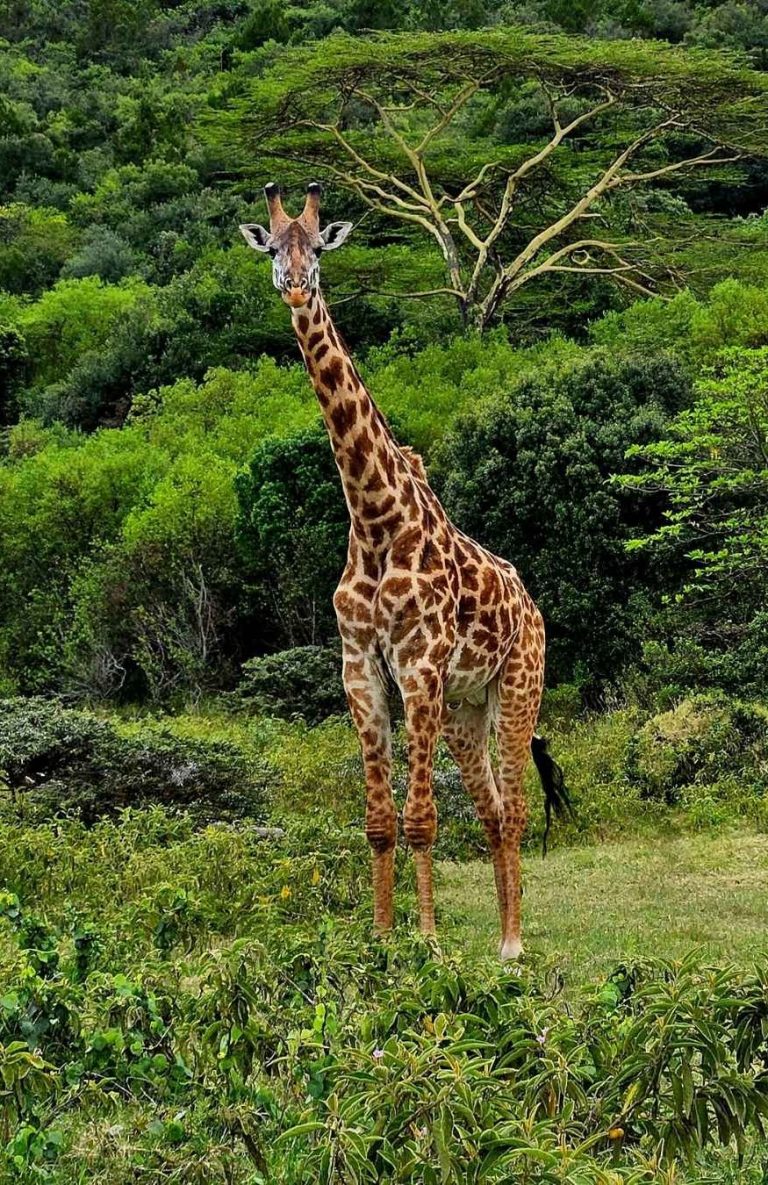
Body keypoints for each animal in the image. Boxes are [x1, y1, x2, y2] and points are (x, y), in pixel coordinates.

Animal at [240, 182, 569, 960]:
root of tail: (531, 602)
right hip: (463, 708)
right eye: (272, 249)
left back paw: (513, 949)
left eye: (317, 247)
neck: (374, 520)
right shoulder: (360, 665)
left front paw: (427, 943)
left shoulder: (418, 660)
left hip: (519, 685)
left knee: (514, 808)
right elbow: (380, 822)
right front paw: (383, 939)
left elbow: (421, 817)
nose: (295, 286)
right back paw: (502, 939)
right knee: (489, 810)